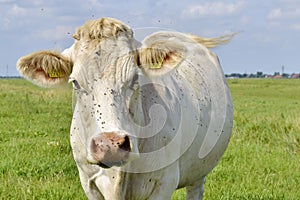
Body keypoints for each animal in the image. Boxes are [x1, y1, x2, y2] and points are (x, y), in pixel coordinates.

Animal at [17, 18, 234, 199]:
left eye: (135, 78)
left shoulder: (164, 182)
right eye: (75, 82)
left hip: (199, 171)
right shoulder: (89, 183)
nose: (109, 144)